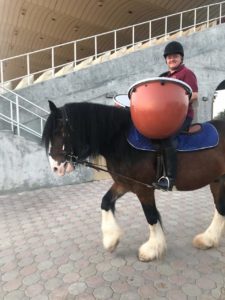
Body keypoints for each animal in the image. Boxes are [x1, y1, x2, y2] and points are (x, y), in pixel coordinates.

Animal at [41, 100, 225, 260]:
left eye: (59, 132)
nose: (55, 167)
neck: (121, 142)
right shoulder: (124, 183)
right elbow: (105, 202)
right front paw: (111, 240)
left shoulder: (143, 189)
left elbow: (151, 216)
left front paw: (152, 249)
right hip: (217, 180)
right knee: (220, 209)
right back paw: (208, 239)